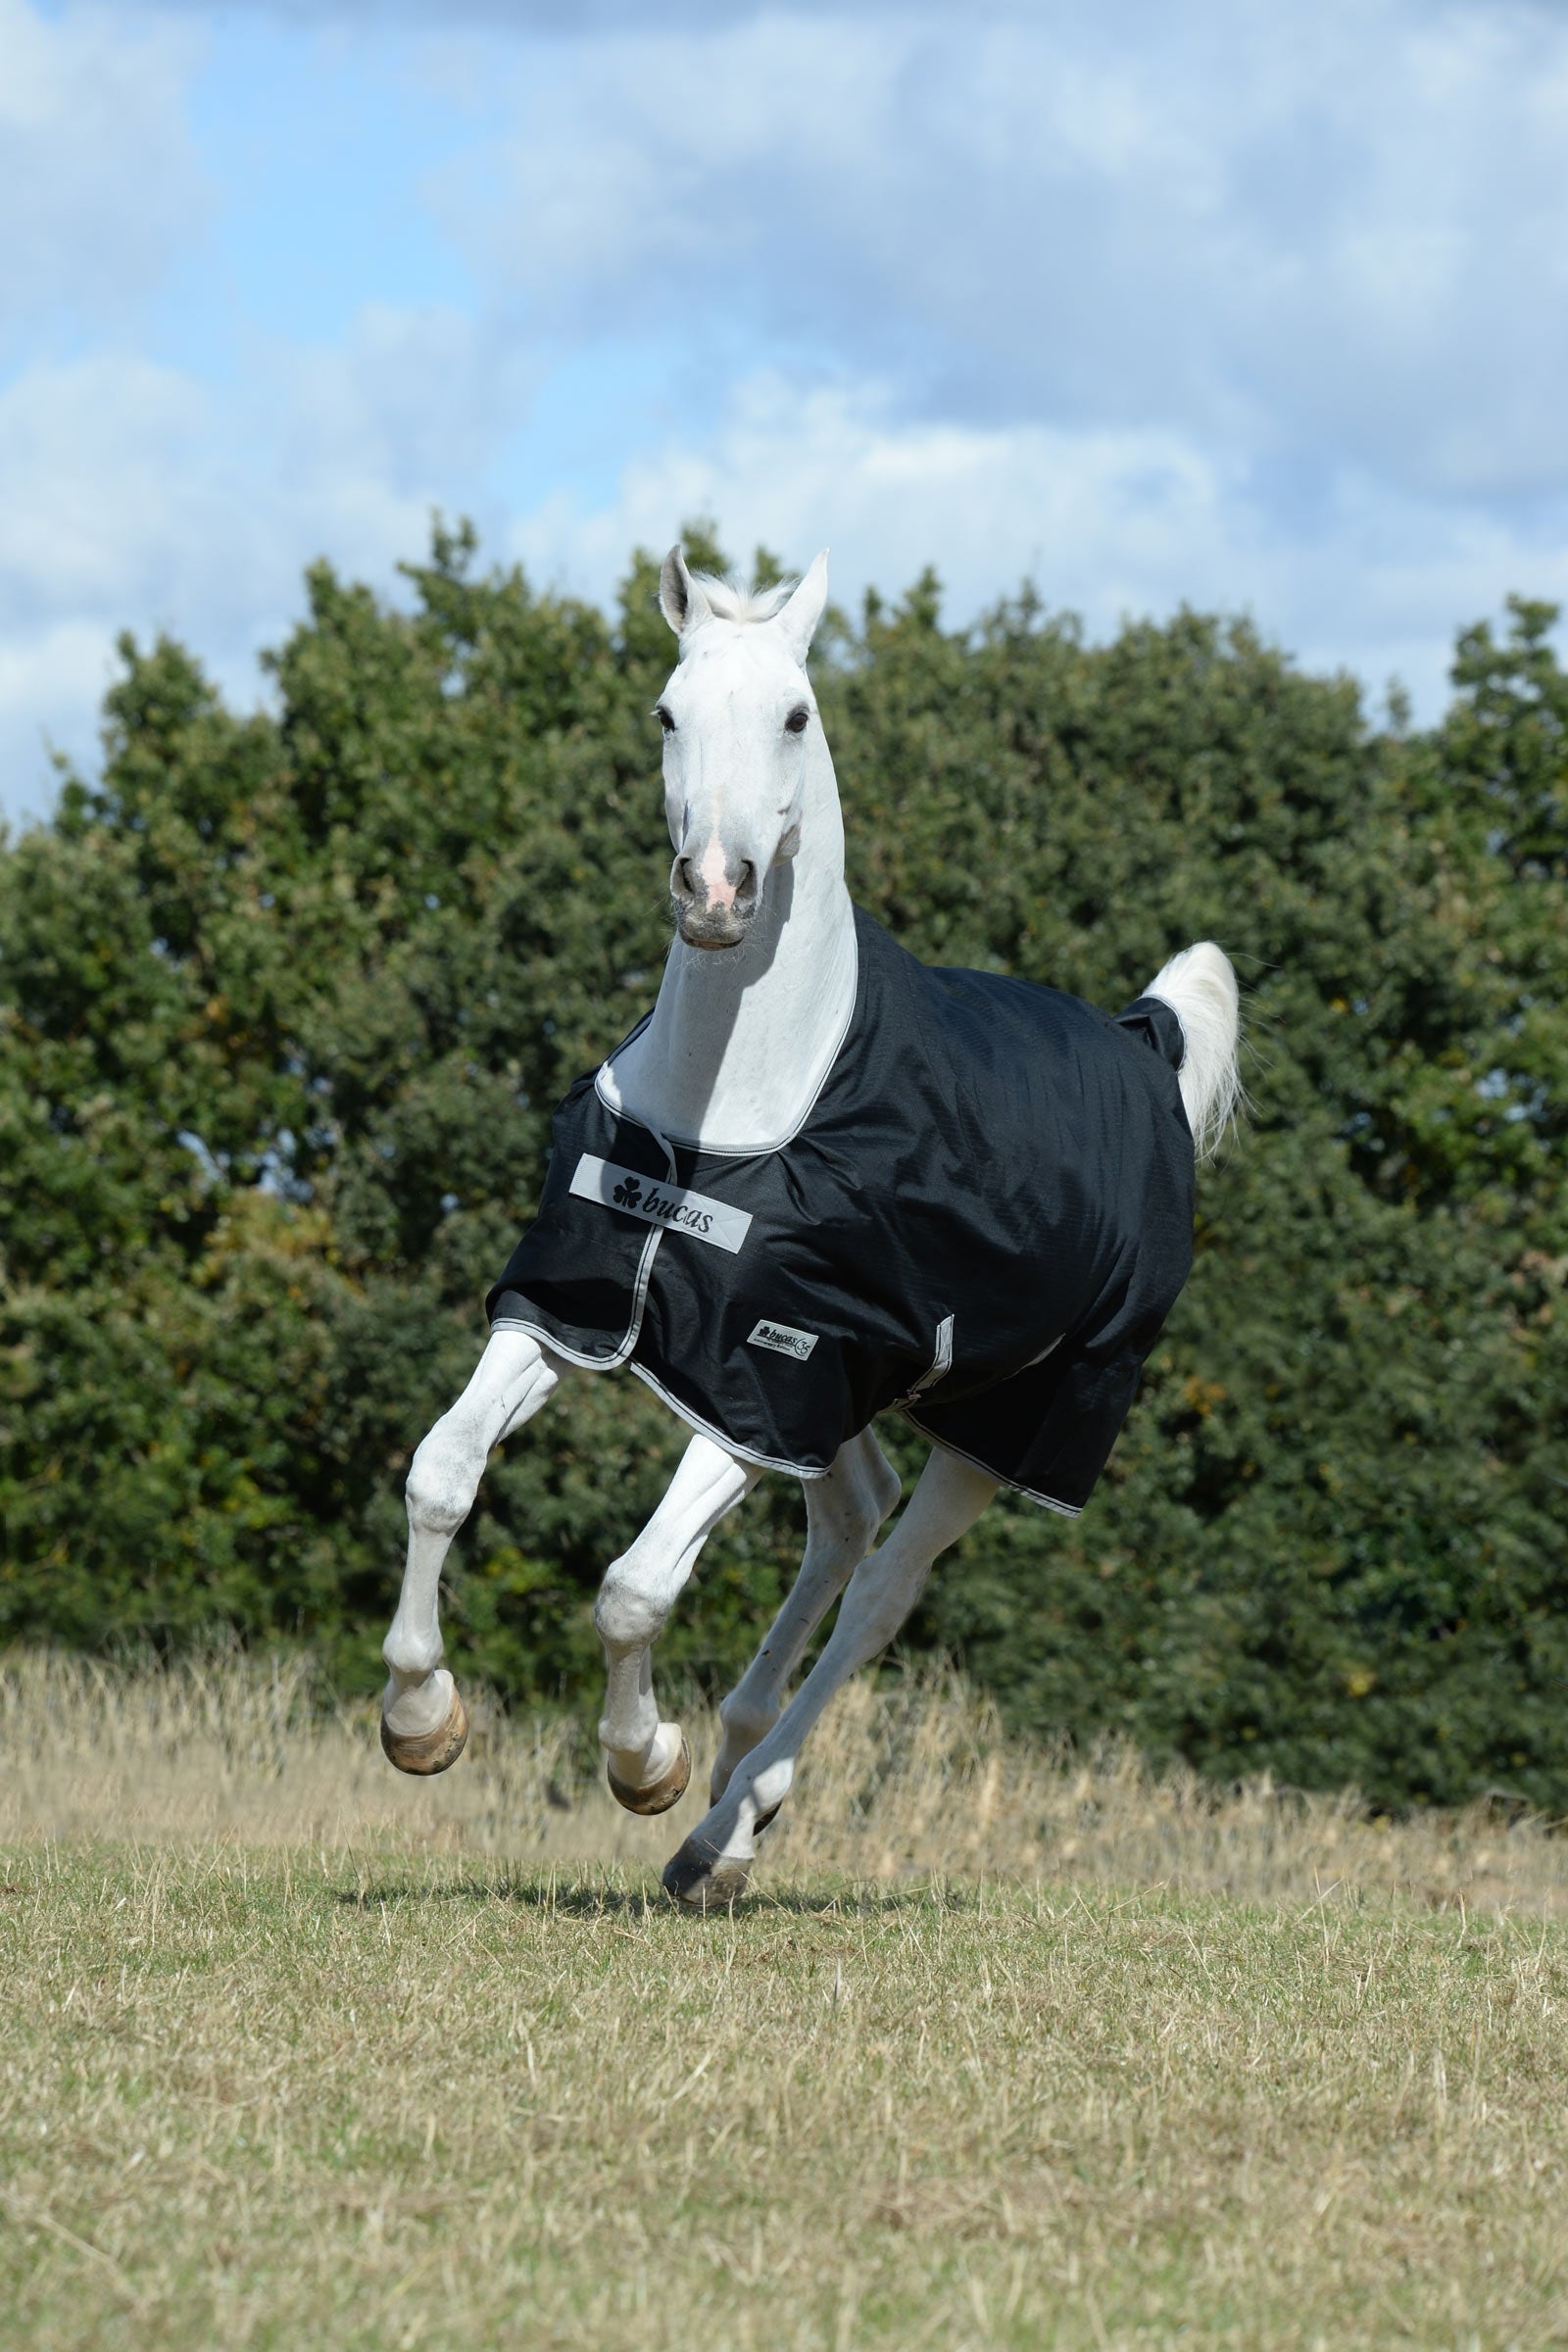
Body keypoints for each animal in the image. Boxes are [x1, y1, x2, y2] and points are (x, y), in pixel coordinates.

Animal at [378, 546, 1241, 1907]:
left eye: (797, 714)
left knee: (881, 1591)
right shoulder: (578, 1313)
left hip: (1004, 1429)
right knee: (847, 1521)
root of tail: (1147, 1048)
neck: (729, 1121)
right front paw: (421, 1719)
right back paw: (726, 1799)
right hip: (853, 1400)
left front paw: (645, 1761)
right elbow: (440, 1472)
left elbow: (633, 1589)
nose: (717, 892)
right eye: (666, 713)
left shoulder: (759, 1386)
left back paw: (727, 1823)